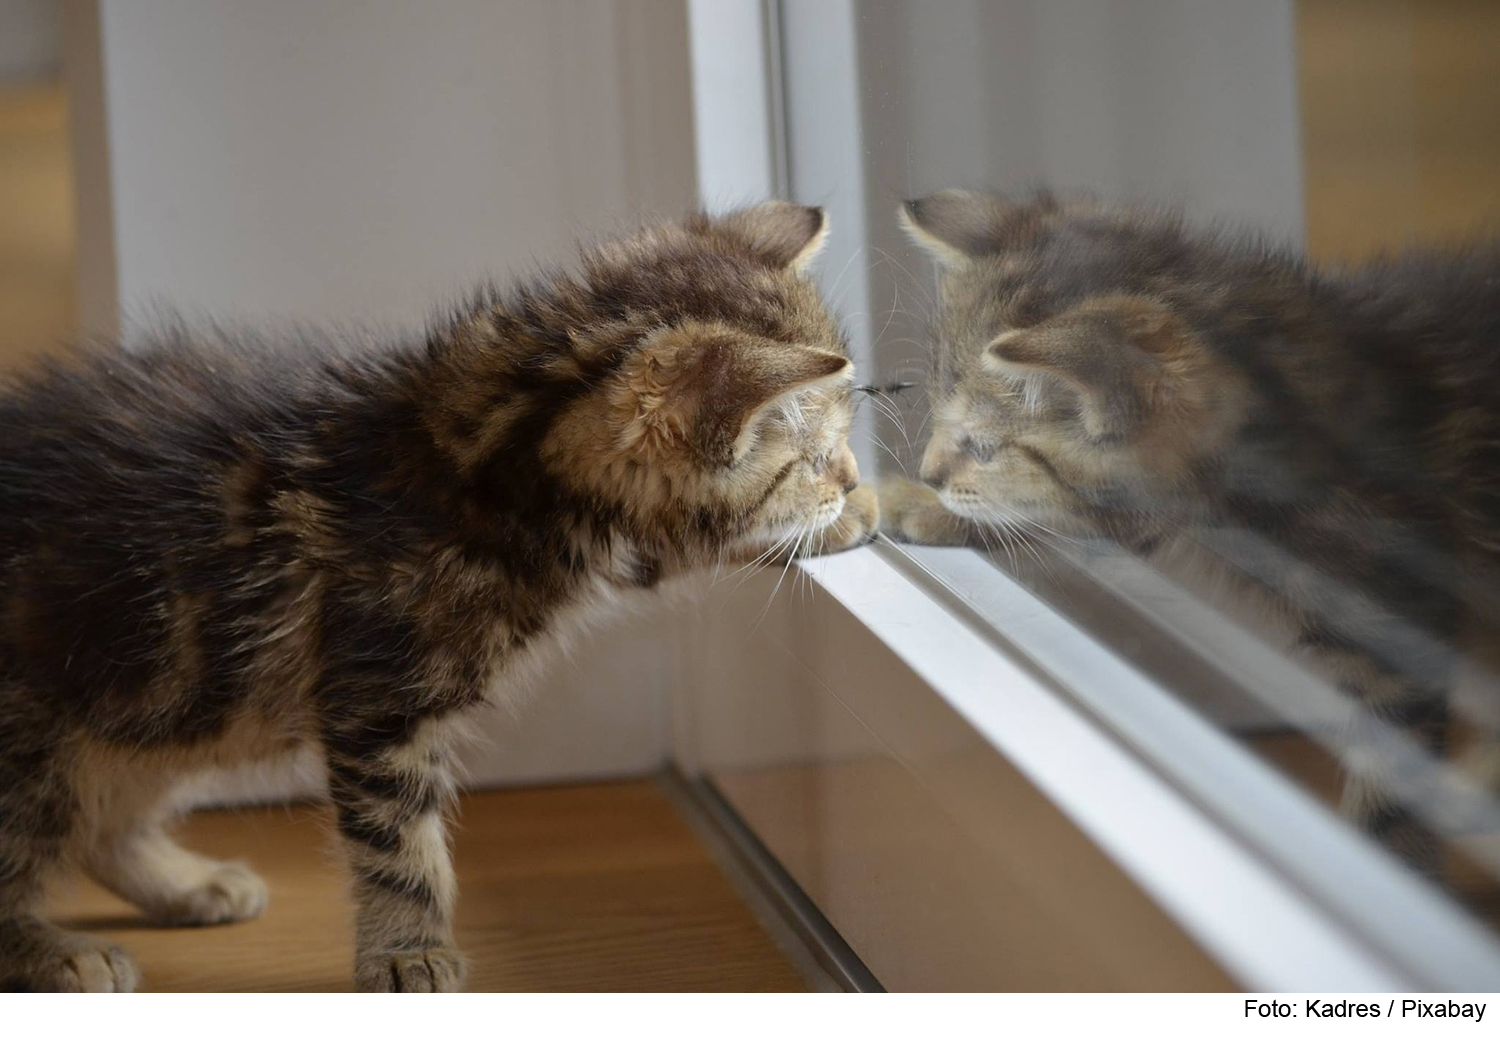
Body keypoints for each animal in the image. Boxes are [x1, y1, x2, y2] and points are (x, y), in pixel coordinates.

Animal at [0, 202, 876, 990]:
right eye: (812, 457)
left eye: (838, 448)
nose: (849, 478)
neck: (484, 457)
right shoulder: (377, 701)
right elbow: (399, 842)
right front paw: (407, 951)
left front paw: (864, 514)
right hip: (51, 726)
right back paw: (55, 950)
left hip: (165, 696)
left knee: (107, 816)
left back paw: (186, 884)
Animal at [882, 186, 1494, 870]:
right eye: (937, 406)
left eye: (983, 447)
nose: (929, 472)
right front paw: (914, 502)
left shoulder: (1401, 633)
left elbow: (1392, 795)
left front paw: (1380, 868)